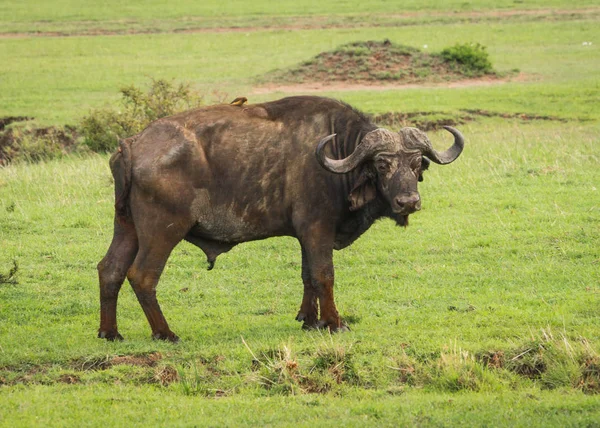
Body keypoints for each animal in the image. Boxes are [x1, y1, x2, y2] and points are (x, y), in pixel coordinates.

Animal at [98, 96, 464, 342]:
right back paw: (166, 333)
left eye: (416, 164)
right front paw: (334, 323)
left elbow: (307, 276)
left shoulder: (305, 235)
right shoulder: (317, 228)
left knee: (110, 269)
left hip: (126, 227)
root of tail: (134, 143)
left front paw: (311, 320)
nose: (408, 202)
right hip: (162, 231)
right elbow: (324, 274)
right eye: (383, 165)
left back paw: (110, 332)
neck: (337, 157)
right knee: (143, 275)